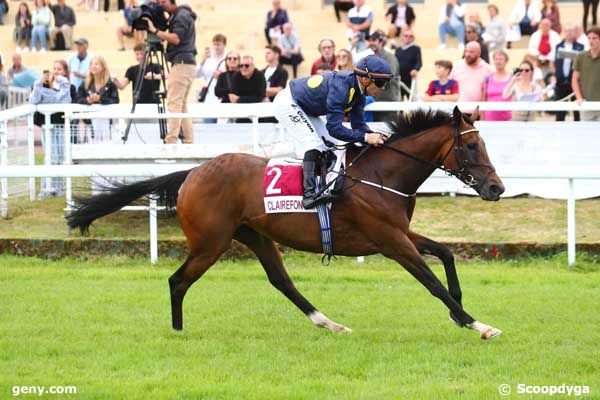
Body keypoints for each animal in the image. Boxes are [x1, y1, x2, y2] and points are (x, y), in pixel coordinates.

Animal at [67, 107, 506, 340]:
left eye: (484, 143)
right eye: (471, 145)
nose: (497, 187)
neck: (382, 175)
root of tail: (192, 171)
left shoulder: (399, 233)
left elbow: (446, 254)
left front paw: (459, 313)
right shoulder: (391, 241)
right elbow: (431, 282)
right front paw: (479, 324)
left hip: (256, 236)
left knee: (282, 282)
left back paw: (329, 323)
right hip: (211, 242)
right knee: (178, 280)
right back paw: (177, 331)